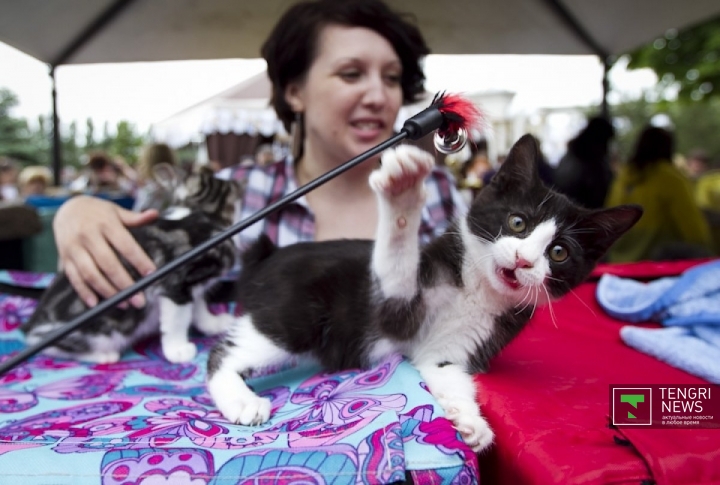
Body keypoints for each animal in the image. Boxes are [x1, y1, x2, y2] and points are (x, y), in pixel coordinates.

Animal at [22, 168, 243, 364]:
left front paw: (211, 323)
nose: (239, 184)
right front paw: (177, 349)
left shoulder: (192, 284)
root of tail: (33, 323)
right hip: (97, 333)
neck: (198, 213)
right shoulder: (176, 282)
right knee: (45, 344)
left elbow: (198, 305)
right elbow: (177, 319)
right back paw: (103, 355)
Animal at [204, 134, 640, 452]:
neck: (476, 288)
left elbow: (446, 372)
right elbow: (395, 260)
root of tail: (265, 257)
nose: (524, 260)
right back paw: (240, 398)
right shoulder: (389, 302)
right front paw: (403, 191)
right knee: (225, 352)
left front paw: (471, 421)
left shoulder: (457, 346)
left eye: (559, 252)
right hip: (294, 313)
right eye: (518, 222)